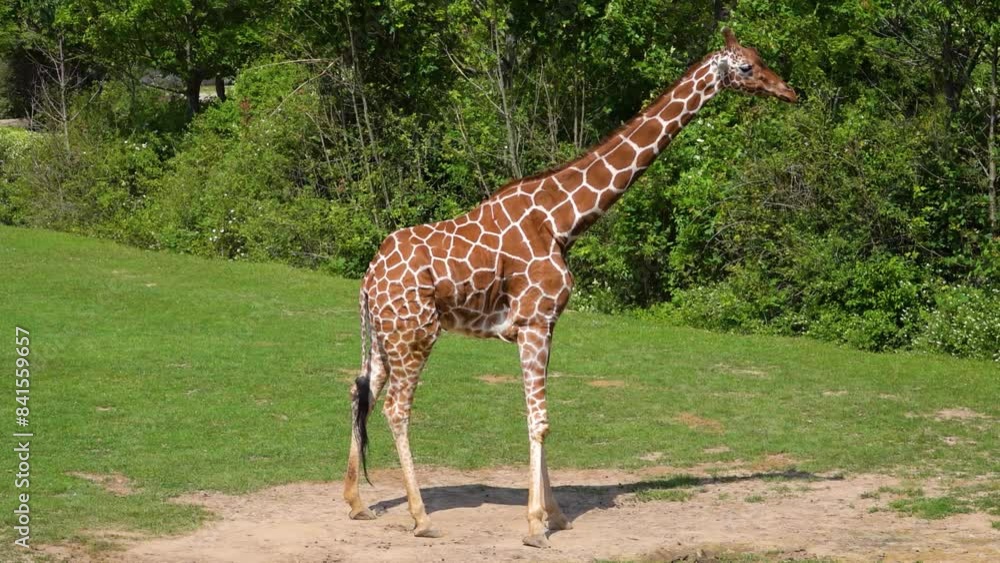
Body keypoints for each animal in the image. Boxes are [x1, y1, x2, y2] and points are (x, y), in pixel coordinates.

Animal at [343, 28, 796, 548]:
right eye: (745, 67)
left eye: (759, 57)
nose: (788, 91)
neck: (563, 220)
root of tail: (368, 278)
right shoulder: (534, 322)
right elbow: (540, 420)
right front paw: (535, 526)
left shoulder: (545, 325)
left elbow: (539, 418)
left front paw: (555, 515)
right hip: (414, 334)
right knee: (396, 408)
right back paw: (421, 518)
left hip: (385, 337)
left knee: (362, 390)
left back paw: (356, 503)